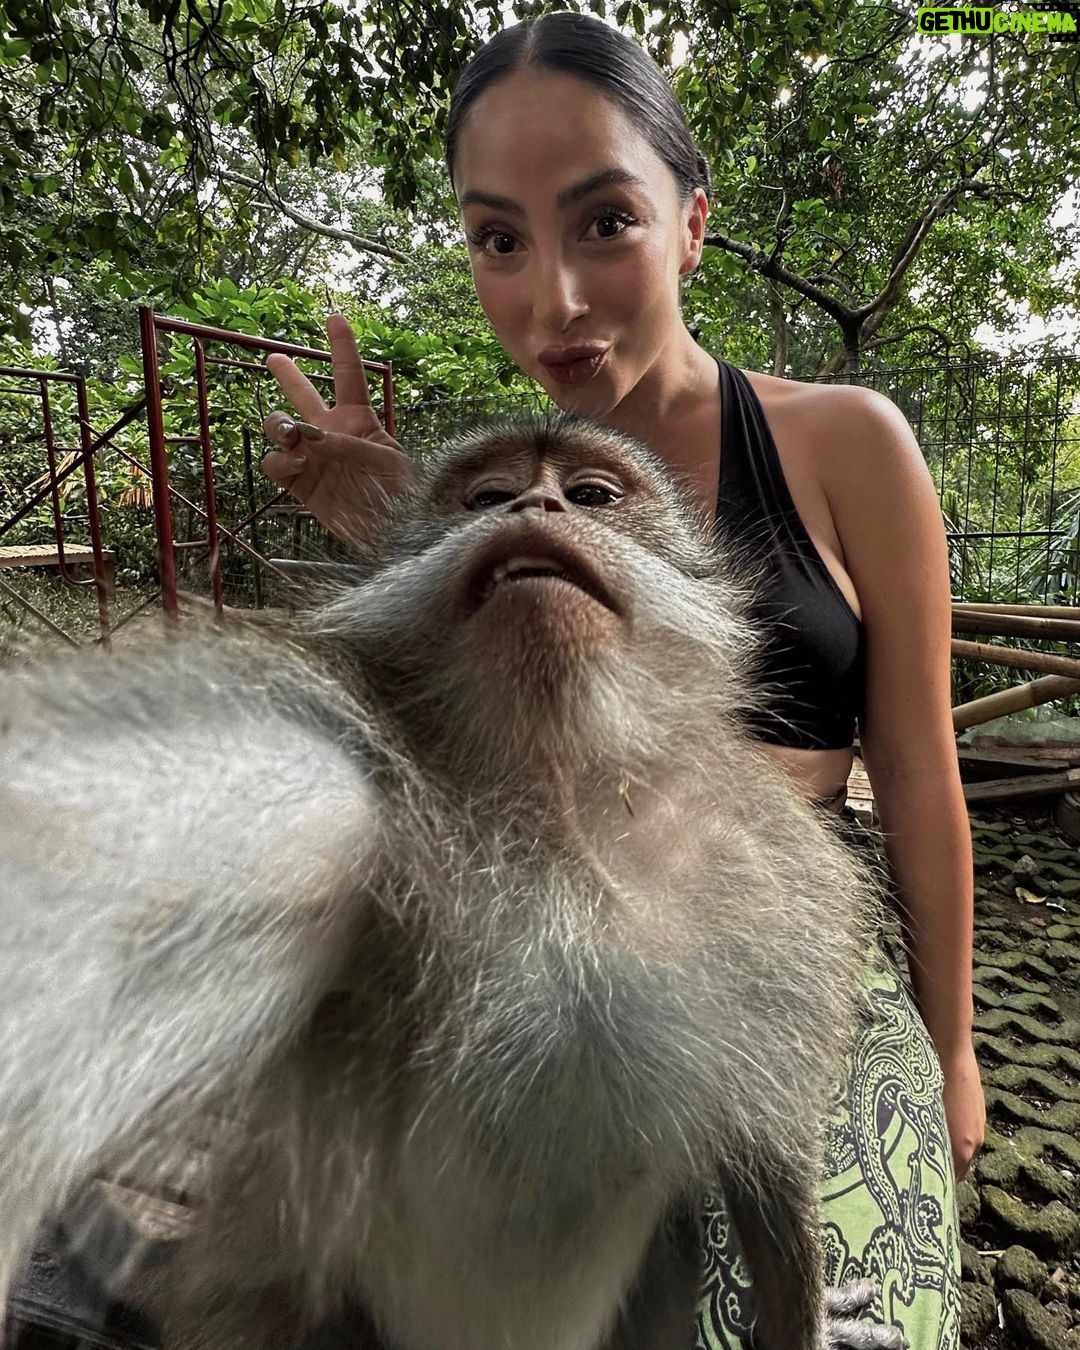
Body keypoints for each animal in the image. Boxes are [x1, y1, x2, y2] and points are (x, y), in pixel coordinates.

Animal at [0, 414, 906, 1350]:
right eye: (488, 497)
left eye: (591, 496)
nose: (535, 507)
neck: (559, 802)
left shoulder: (775, 870)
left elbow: (768, 1160)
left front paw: (810, 1322)